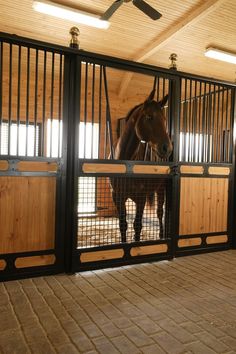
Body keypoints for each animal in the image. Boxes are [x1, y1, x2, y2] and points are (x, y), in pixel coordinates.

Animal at [109, 90, 172, 242]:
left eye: (164, 119)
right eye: (149, 116)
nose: (167, 148)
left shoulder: (140, 198)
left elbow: (137, 226)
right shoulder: (117, 196)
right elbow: (123, 225)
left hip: (161, 188)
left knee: (160, 212)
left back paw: (161, 235)